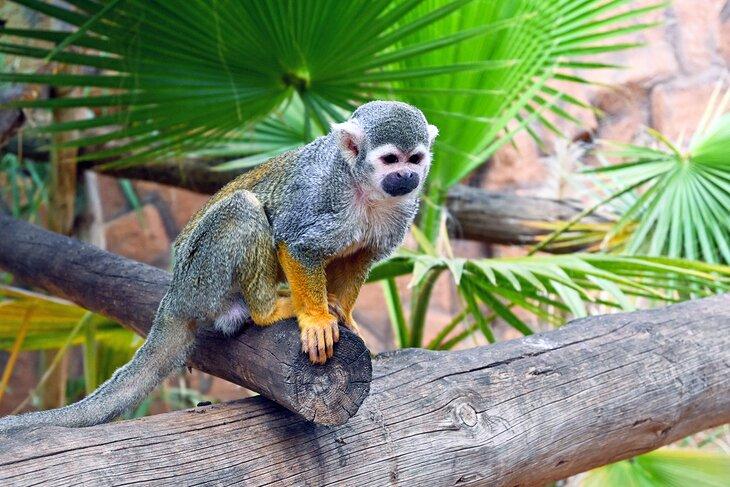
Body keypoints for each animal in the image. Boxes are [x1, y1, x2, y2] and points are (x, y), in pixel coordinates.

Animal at [0, 101, 438, 432]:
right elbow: (297, 242)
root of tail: (174, 294)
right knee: (244, 208)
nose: (406, 176)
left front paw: (340, 312)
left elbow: (360, 256)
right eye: (389, 159)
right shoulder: (323, 193)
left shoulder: (400, 211)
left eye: (415, 158)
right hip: (201, 276)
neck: (364, 188)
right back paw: (267, 310)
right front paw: (316, 318)